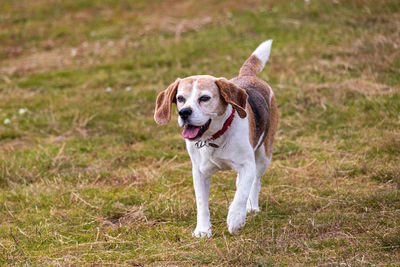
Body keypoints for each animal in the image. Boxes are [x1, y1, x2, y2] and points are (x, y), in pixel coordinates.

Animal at [154, 40, 278, 239]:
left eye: (204, 98)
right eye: (180, 98)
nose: (184, 112)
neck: (214, 137)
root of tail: (247, 76)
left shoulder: (247, 165)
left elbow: (241, 194)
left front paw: (235, 219)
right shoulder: (199, 172)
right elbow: (201, 204)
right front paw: (203, 230)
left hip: (264, 156)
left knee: (255, 182)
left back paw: (252, 206)